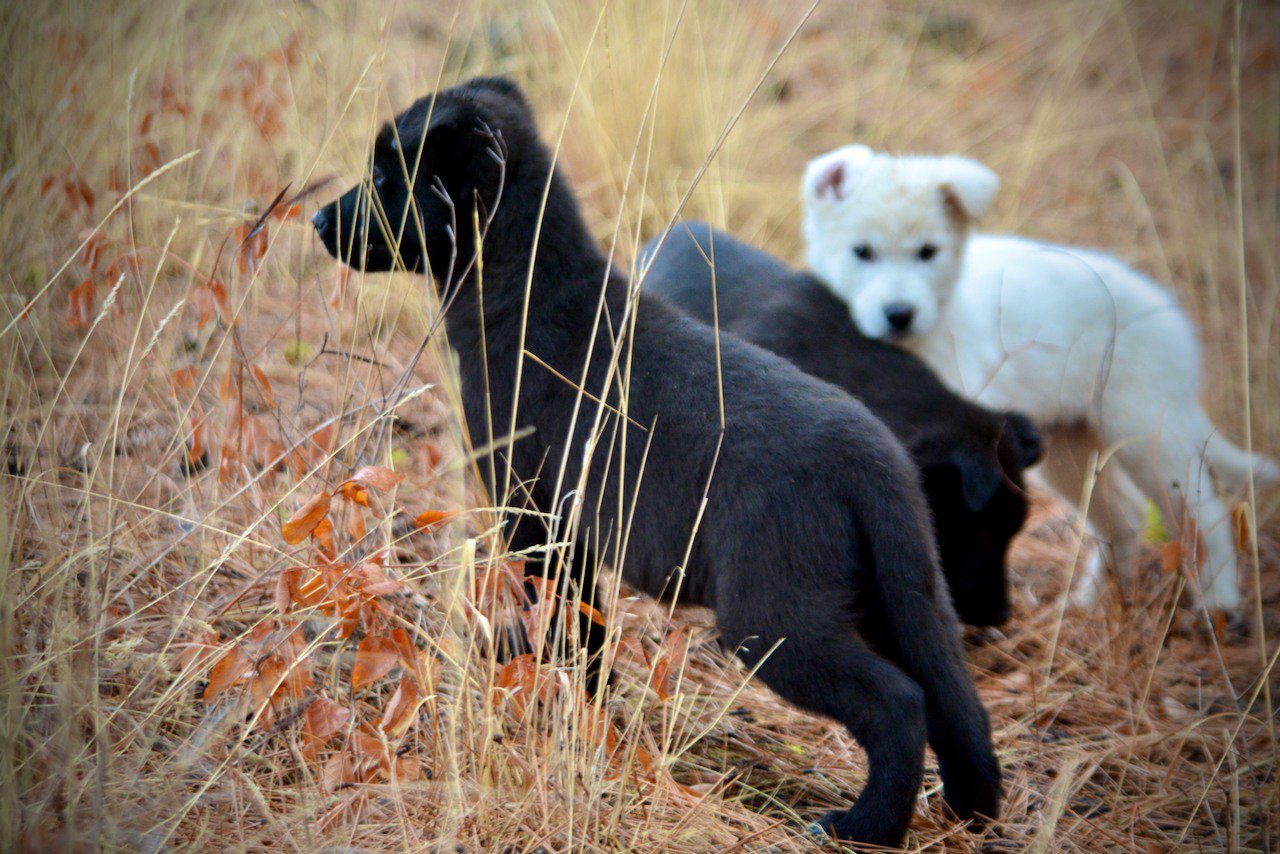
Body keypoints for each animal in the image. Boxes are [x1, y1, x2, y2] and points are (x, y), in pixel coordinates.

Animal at [314, 78, 993, 850]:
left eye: (385, 179)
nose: (318, 219)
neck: (523, 293)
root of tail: (875, 466)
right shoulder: (572, 525)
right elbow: (587, 629)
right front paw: (584, 708)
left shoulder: (536, 510)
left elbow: (565, 620)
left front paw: (564, 705)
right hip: (903, 594)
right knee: (954, 696)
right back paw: (970, 807)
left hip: (775, 617)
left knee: (898, 702)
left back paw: (862, 826)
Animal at [803, 143, 1274, 617]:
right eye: (862, 251)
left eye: (927, 252)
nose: (899, 314)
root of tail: (1170, 315)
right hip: (1069, 449)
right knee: (1125, 517)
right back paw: (1094, 600)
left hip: (1148, 435)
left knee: (1205, 513)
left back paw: (1220, 601)